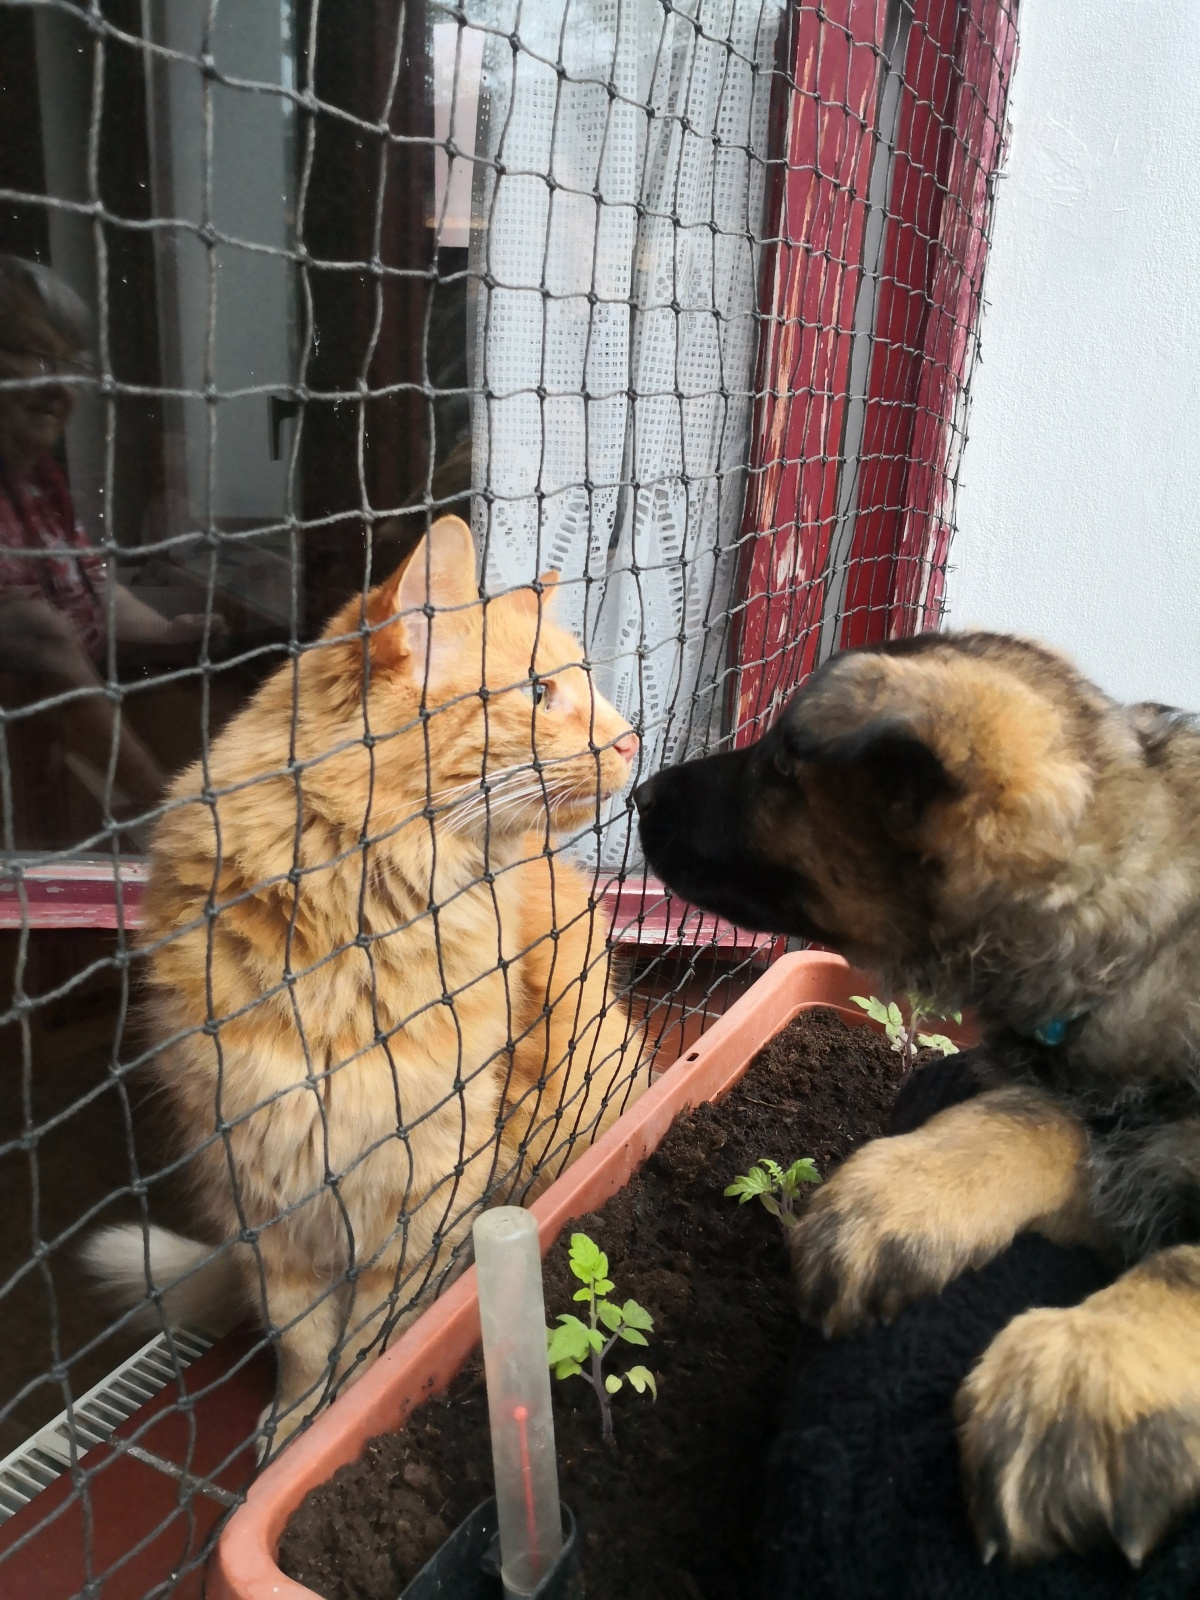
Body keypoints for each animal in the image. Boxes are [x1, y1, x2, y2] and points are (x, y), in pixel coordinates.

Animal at [86, 515, 647, 1448]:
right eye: (540, 693)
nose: (632, 738)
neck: (359, 936)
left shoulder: (429, 1189)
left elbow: (367, 1344)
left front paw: (335, 1424)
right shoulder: (261, 1192)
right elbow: (302, 1339)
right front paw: (294, 1427)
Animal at [635, 631, 1200, 1569]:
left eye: (782, 765)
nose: (638, 795)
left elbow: (1181, 1258)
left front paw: (1090, 1376)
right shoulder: (1103, 1118)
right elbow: (1032, 1116)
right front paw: (899, 1200)